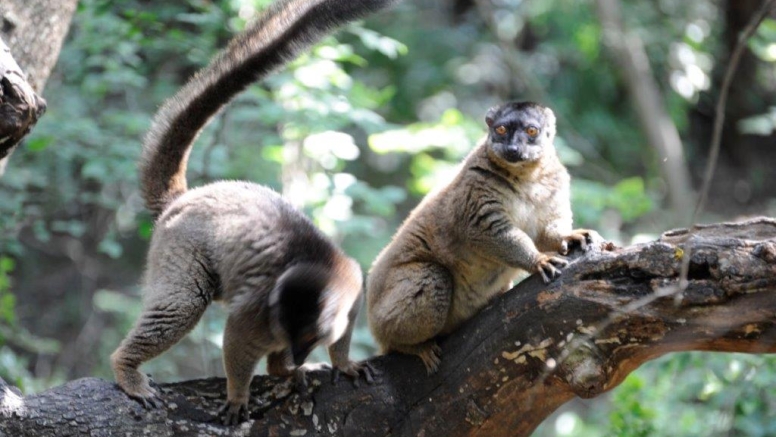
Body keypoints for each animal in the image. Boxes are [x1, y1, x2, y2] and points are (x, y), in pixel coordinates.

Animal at [110, 0, 397, 425]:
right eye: (293, 333)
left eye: (310, 337)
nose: (296, 354)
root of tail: (186, 198)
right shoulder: (258, 315)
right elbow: (236, 339)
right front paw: (238, 395)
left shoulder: (352, 288)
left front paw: (340, 362)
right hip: (178, 245)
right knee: (183, 303)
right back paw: (127, 367)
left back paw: (282, 370)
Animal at [367, 101, 593, 374]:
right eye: (501, 129)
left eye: (531, 131)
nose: (513, 149)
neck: (527, 177)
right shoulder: (476, 188)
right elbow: (486, 231)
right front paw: (538, 260)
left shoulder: (554, 184)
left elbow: (546, 232)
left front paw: (569, 236)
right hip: (386, 313)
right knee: (433, 277)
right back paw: (413, 346)